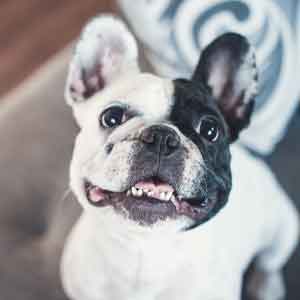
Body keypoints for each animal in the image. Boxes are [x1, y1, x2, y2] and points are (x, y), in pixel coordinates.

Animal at [60, 15, 298, 300]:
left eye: (210, 129)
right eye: (111, 117)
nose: (162, 137)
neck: (142, 252)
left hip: (283, 227)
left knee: (269, 262)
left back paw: (267, 285)